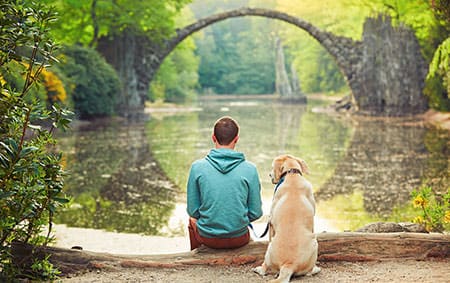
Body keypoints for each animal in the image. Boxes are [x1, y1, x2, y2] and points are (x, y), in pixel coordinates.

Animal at [253, 155, 320, 283]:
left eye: (272, 167)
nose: (269, 175)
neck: (292, 174)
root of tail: (288, 265)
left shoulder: (271, 222)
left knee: (265, 268)